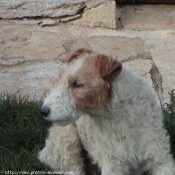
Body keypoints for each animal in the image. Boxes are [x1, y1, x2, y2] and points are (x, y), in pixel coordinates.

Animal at [38, 48, 175, 175]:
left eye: (77, 84)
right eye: (60, 78)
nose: (43, 111)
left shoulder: (160, 158)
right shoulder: (113, 164)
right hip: (66, 138)